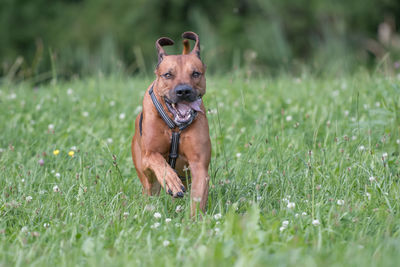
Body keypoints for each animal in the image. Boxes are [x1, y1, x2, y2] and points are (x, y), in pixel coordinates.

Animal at [132, 31, 212, 217]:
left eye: (195, 73)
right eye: (168, 74)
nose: (183, 91)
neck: (175, 126)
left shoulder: (199, 164)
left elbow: (198, 197)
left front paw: (194, 221)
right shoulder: (148, 155)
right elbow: (159, 162)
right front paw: (171, 181)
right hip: (147, 181)